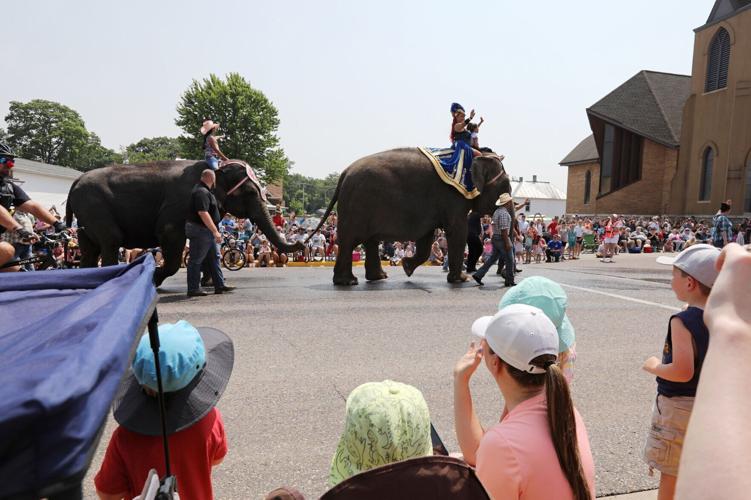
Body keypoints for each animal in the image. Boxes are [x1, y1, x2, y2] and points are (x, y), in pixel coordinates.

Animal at [66, 160, 304, 286]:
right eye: (250, 193)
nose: (301, 243)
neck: (215, 168)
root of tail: (75, 181)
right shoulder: (178, 206)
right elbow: (169, 235)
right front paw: (154, 279)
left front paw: (207, 282)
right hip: (95, 207)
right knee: (110, 242)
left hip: (86, 217)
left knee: (89, 250)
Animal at [312, 147, 516, 286]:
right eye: (506, 185)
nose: (506, 277)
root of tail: (344, 173)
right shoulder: (452, 198)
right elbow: (457, 231)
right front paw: (461, 280)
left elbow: (426, 238)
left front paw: (406, 266)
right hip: (356, 206)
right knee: (350, 240)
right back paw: (348, 282)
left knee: (370, 240)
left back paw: (377, 278)